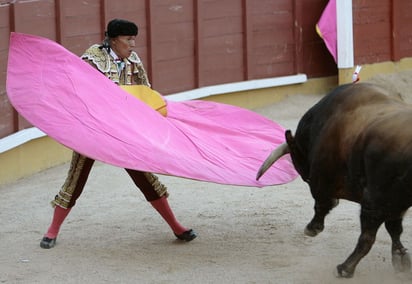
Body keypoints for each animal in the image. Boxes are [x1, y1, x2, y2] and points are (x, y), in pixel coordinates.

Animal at [258, 82, 412, 278]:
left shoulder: (323, 181)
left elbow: (322, 204)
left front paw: (312, 228)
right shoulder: (395, 205)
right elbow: (394, 229)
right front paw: (401, 259)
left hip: (374, 201)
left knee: (366, 237)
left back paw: (345, 268)